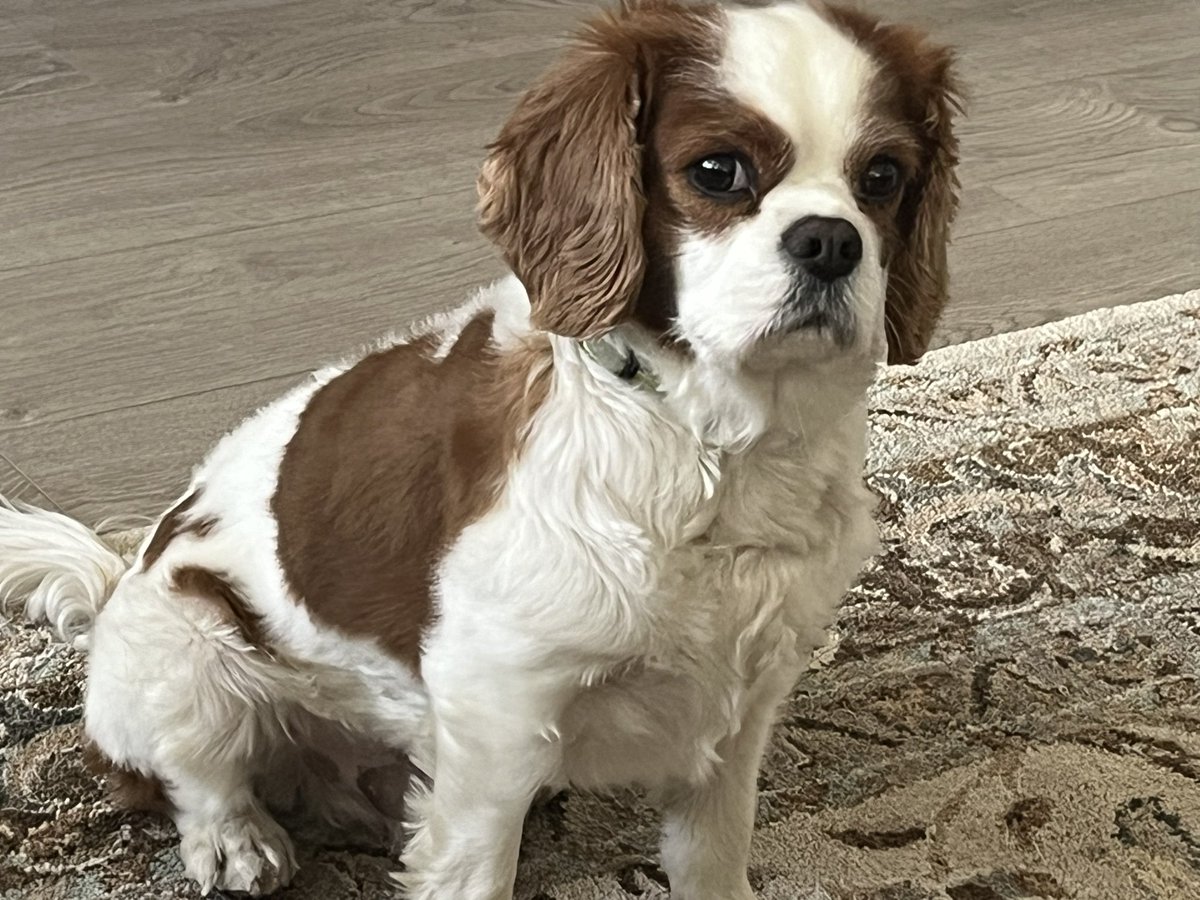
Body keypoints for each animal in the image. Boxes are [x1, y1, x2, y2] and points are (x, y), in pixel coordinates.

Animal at [0, 3, 955, 897]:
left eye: (883, 178)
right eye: (717, 171)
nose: (832, 241)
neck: (708, 440)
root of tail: (115, 582)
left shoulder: (743, 700)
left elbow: (711, 855)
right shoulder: (500, 708)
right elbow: (473, 869)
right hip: (190, 648)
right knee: (188, 778)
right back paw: (235, 839)